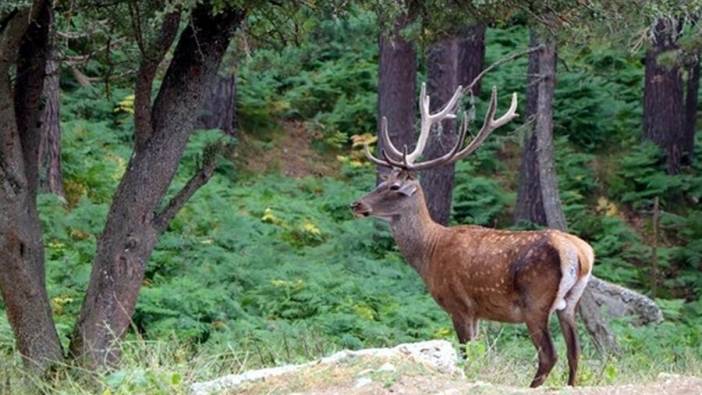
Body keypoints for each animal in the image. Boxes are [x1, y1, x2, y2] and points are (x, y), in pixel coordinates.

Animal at [352, 82, 592, 388]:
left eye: (394, 187)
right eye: (384, 181)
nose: (357, 204)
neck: (429, 253)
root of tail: (579, 253)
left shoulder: (459, 305)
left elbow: (467, 355)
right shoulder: (478, 312)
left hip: (536, 301)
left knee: (550, 355)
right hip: (570, 304)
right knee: (575, 353)